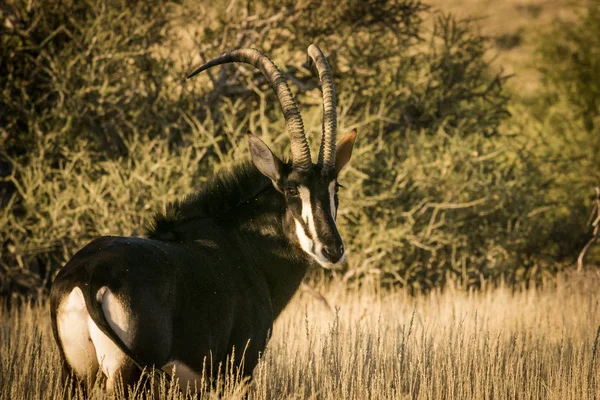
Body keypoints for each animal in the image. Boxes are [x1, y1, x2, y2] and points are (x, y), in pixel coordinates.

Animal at [50, 43, 356, 390]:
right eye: (292, 190)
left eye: (334, 188)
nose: (332, 249)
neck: (245, 244)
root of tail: (88, 276)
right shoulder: (237, 370)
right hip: (129, 375)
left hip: (77, 374)